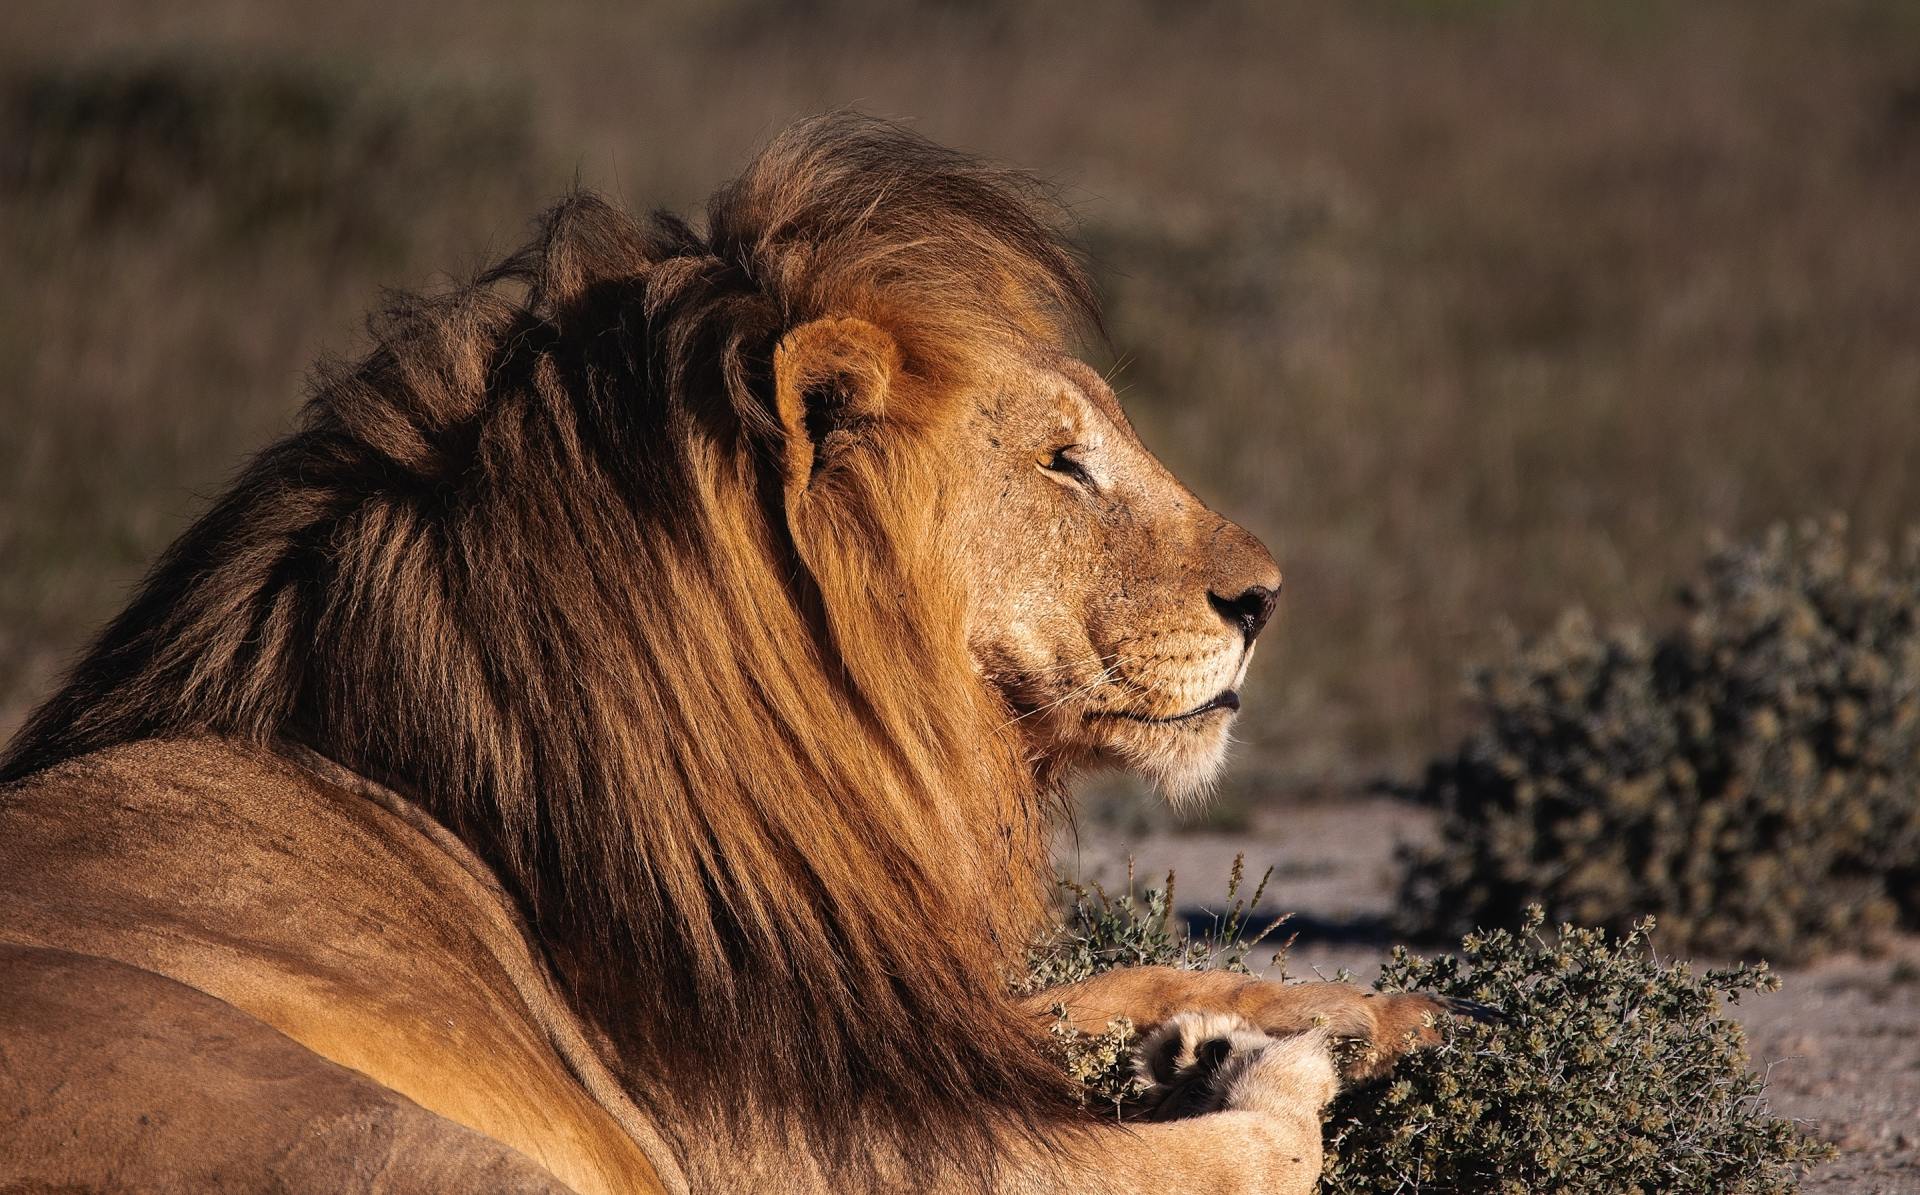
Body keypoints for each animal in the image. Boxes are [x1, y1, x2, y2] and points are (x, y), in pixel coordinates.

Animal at [0, 115, 1457, 1194]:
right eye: (1062, 461)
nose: (1266, 598)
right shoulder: (844, 1138)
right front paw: (1282, 1049)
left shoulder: (888, 1011)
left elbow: (1108, 978)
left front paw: (1363, 1010)